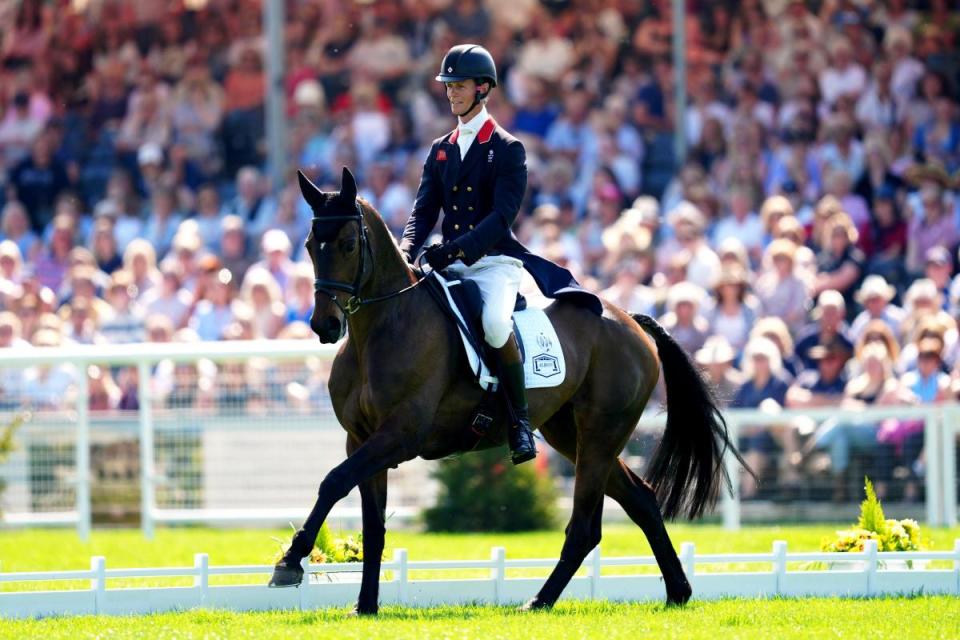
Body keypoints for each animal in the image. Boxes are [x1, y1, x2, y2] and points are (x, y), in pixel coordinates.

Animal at [270, 169, 752, 616]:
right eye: (311, 246)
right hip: (572, 435)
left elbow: (333, 482)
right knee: (642, 501)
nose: (325, 325)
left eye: (350, 244)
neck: (379, 329)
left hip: (600, 434)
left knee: (585, 527)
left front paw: (291, 561)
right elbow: (371, 525)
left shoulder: (399, 436)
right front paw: (365, 605)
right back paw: (677, 592)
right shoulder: (362, 439)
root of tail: (630, 320)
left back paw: (540, 600)